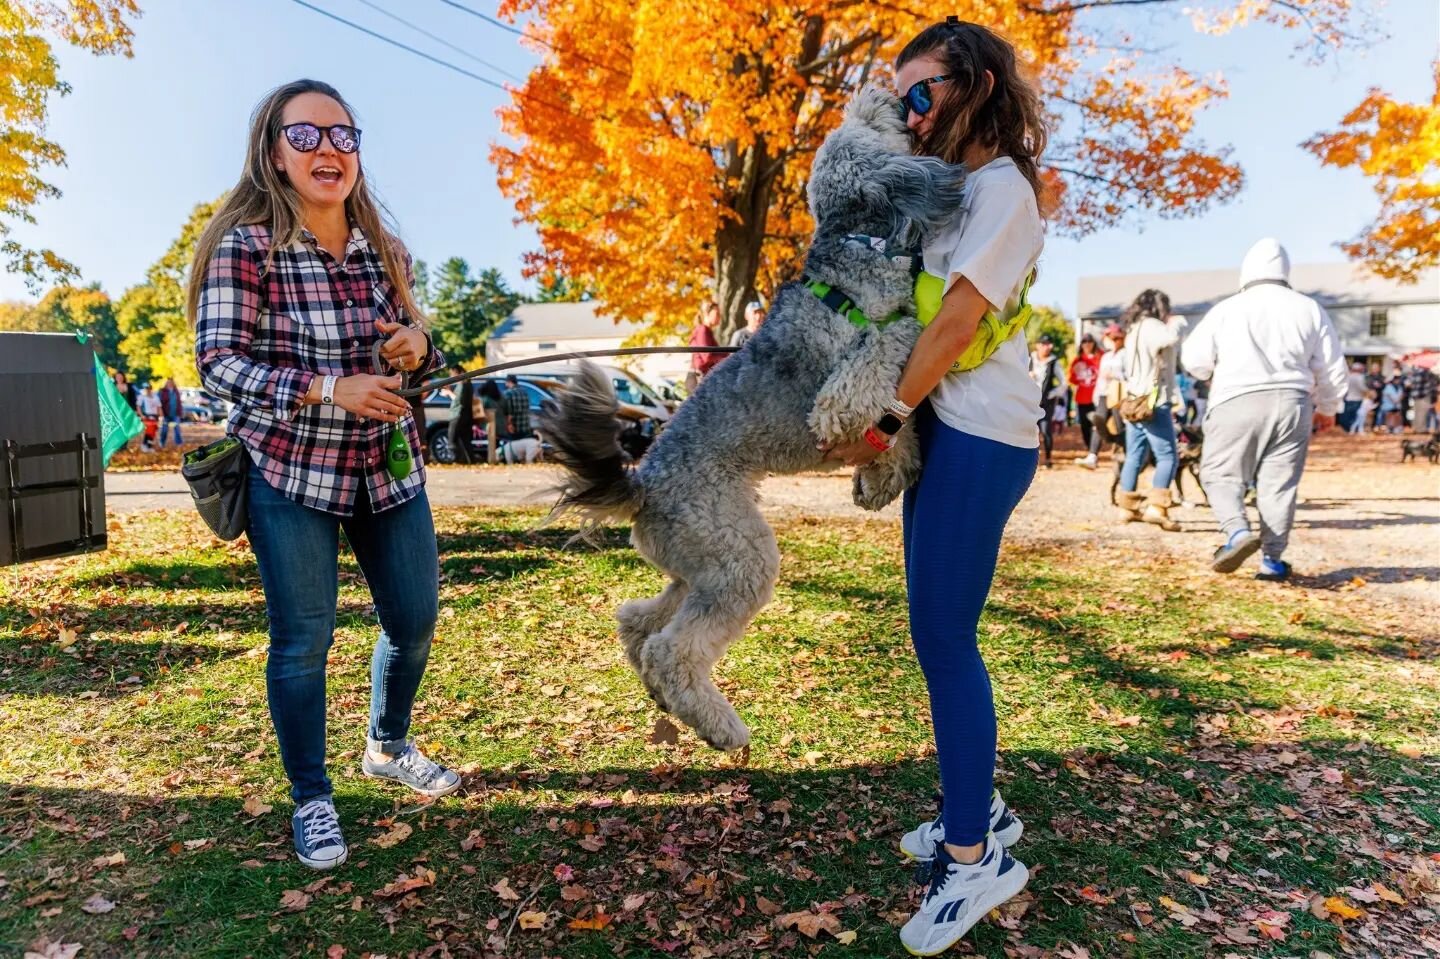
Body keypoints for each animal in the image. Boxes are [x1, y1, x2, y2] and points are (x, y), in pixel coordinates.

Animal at [541, 87, 967, 748]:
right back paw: (719, 724)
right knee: (672, 648)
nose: (886, 93)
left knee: (638, 620)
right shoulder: (873, 346)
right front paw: (864, 444)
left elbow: (895, 422)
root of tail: (642, 483)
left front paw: (882, 478)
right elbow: (883, 353)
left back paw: (662, 692)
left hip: (700, 566)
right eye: (869, 123)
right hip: (739, 555)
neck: (858, 243)